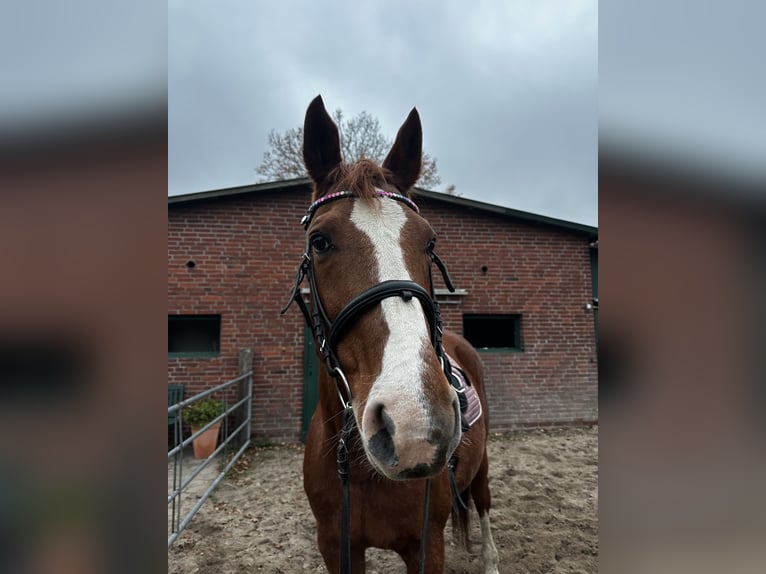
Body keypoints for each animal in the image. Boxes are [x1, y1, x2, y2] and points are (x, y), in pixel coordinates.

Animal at [284, 97, 500, 572]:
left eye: (430, 242)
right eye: (319, 241)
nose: (416, 425)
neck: (361, 469)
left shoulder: (425, 545)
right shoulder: (336, 547)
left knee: (481, 502)